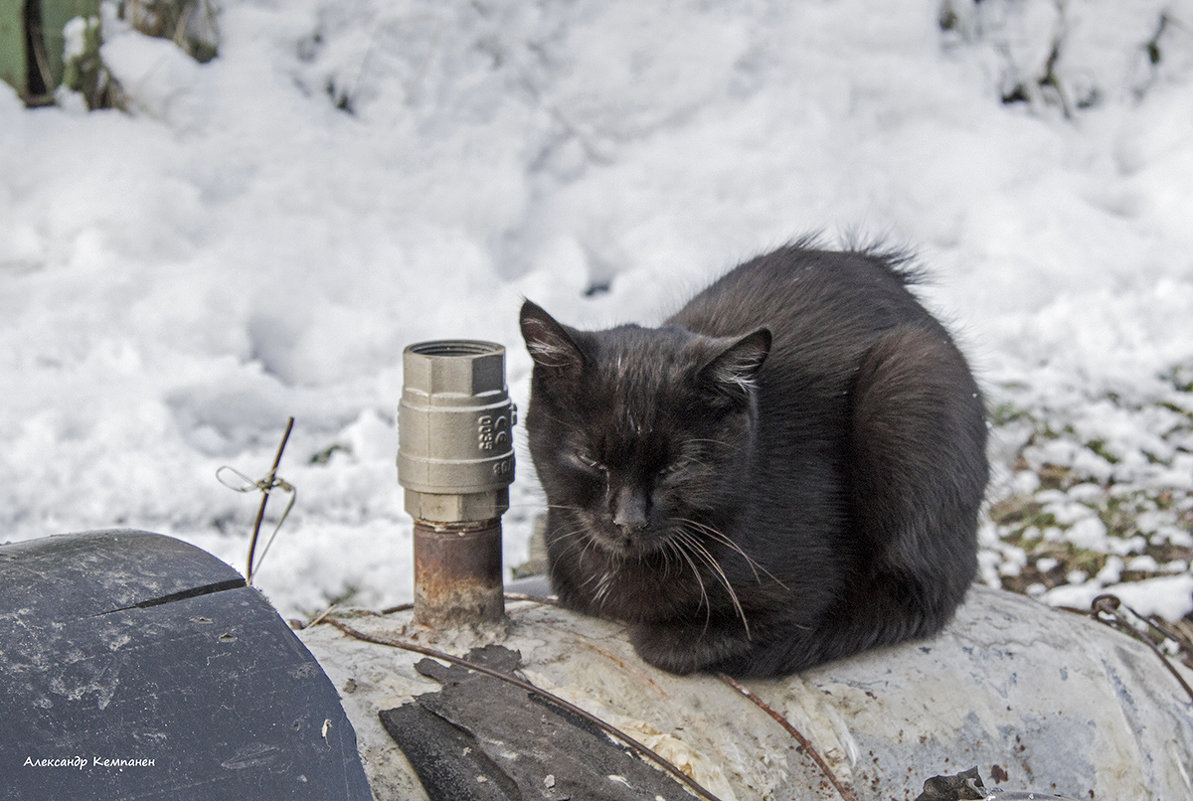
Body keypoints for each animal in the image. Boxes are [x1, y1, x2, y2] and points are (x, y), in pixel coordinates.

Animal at [520, 242, 987, 678]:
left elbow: (685, 643)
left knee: (920, 598)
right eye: (589, 459)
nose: (628, 521)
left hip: (908, 376)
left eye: (677, 465)